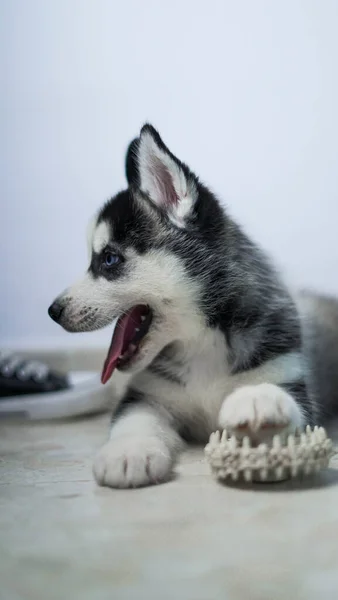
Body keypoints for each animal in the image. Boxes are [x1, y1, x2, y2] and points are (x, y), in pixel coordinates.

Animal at [48, 125, 338, 488]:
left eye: (109, 259)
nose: (53, 311)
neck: (201, 341)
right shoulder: (148, 396)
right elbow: (132, 419)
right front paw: (129, 452)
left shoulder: (291, 378)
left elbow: (287, 407)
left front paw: (259, 400)